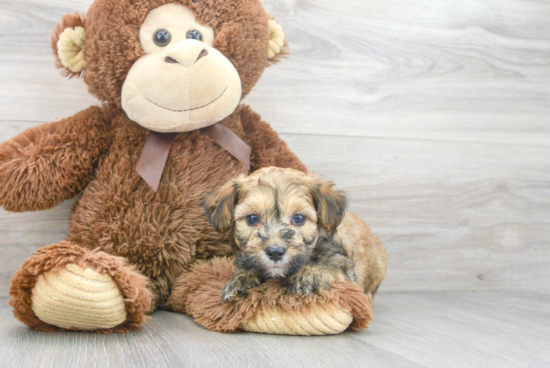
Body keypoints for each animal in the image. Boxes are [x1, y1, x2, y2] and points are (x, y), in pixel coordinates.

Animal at [205, 166, 360, 302]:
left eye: (299, 218)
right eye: (252, 218)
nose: (275, 252)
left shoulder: (343, 267)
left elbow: (330, 268)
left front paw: (309, 274)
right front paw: (240, 280)